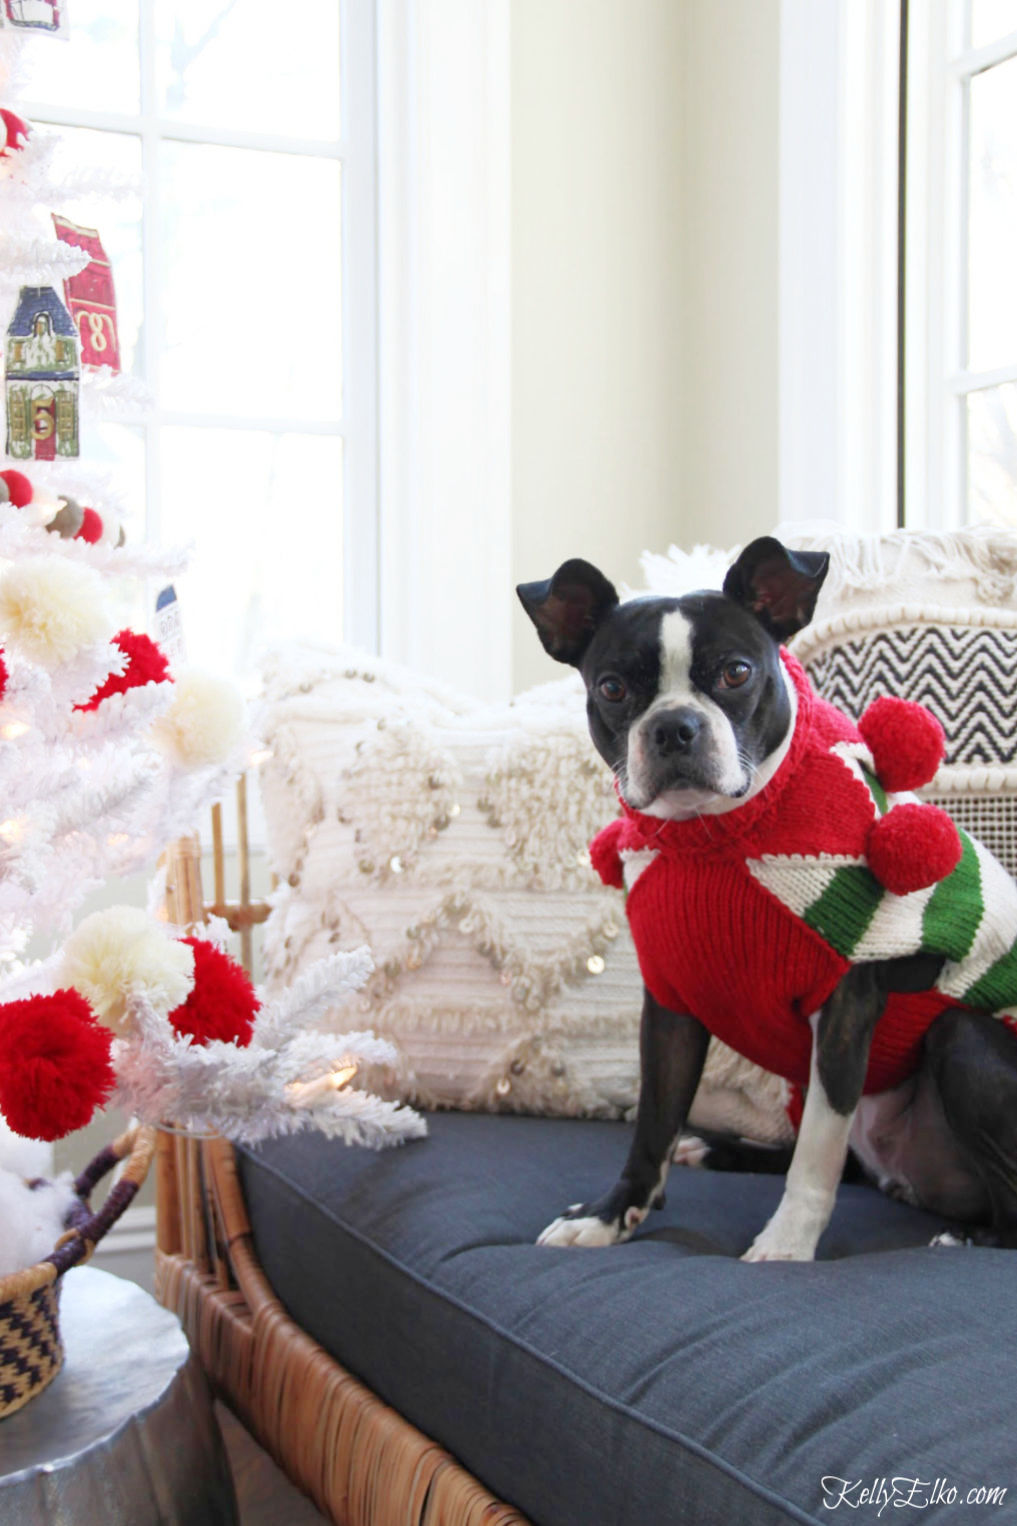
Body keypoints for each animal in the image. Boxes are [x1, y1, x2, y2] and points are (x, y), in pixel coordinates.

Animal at [519, 543, 1013, 1257]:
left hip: (962, 1036)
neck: (713, 838)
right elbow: (653, 1124)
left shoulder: (844, 1007)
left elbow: (817, 1156)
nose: (674, 727)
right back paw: (720, 1149)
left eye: (736, 673)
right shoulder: (669, 1004)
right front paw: (611, 1215)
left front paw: (786, 1247)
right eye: (612, 688)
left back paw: (968, 1239)